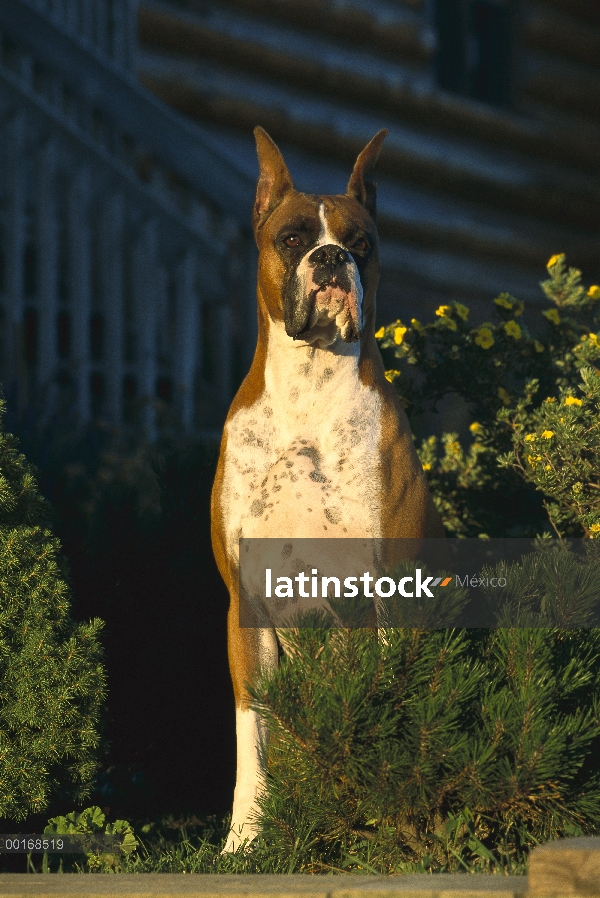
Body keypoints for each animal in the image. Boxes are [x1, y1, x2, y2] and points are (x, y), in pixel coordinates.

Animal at [213, 124, 442, 848]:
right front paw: (245, 838)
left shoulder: (394, 589)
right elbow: (251, 732)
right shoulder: (247, 606)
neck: (309, 387)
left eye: (361, 242)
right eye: (292, 239)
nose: (332, 258)